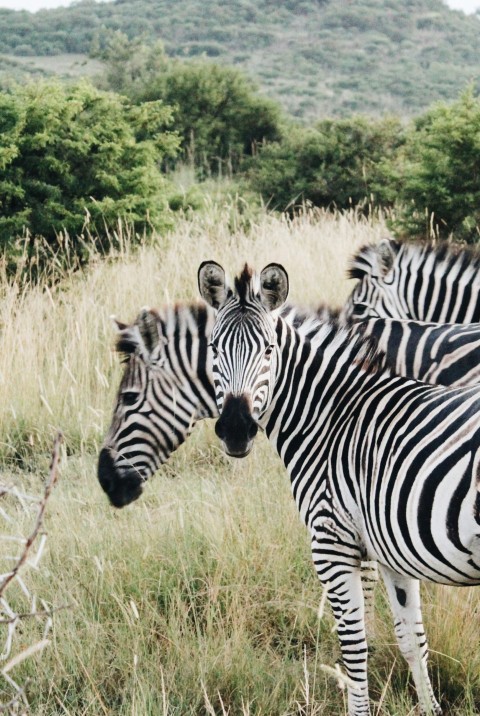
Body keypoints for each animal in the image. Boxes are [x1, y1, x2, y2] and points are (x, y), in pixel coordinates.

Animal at [198, 260, 480, 716]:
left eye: (269, 351)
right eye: (214, 348)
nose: (237, 430)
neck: (331, 418)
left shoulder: (333, 546)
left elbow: (354, 647)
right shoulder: (389, 550)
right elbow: (412, 640)